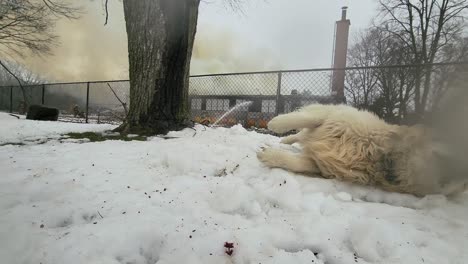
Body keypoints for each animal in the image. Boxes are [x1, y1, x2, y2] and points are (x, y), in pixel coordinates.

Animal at [258, 103, 466, 196]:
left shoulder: (323, 164)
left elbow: (298, 163)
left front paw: (271, 155)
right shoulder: (332, 116)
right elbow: (301, 118)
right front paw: (274, 124)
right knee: (300, 133)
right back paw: (285, 138)